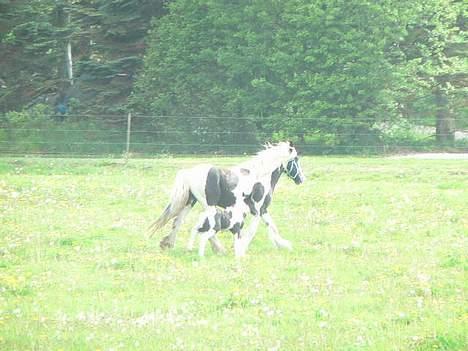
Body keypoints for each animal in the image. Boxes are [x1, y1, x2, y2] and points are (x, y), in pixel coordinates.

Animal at [148, 142, 306, 258]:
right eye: (296, 159)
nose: (301, 179)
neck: (261, 177)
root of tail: (190, 172)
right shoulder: (257, 210)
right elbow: (253, 230)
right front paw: (241, 249)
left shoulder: (263, 210)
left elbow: (272, 226)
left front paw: (283, 245)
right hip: (209, 206)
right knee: (208, 229)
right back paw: (219, 250)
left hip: (190, 202)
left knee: (178, 222)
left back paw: (167, 244)